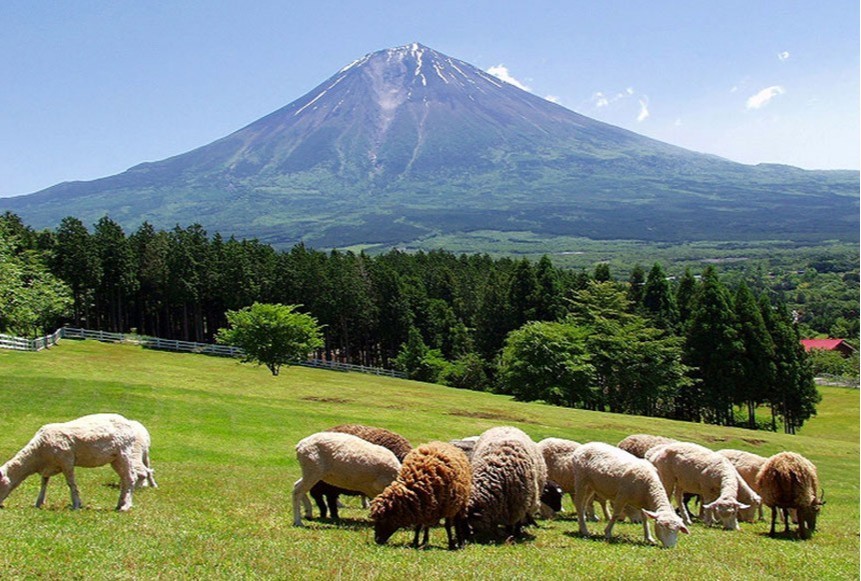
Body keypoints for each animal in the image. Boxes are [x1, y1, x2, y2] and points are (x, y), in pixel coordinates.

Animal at [0, 410, 149, 510]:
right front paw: (39, 502)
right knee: (125, 479)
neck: (37, 456)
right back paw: (119, 504)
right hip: (115, 459)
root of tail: (130, 423)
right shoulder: (49, 466)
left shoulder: (67, 460)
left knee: (130, 478)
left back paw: (125, 506)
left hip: (125, 453)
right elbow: (44, 482)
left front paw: (76, 504)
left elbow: (71, 483)